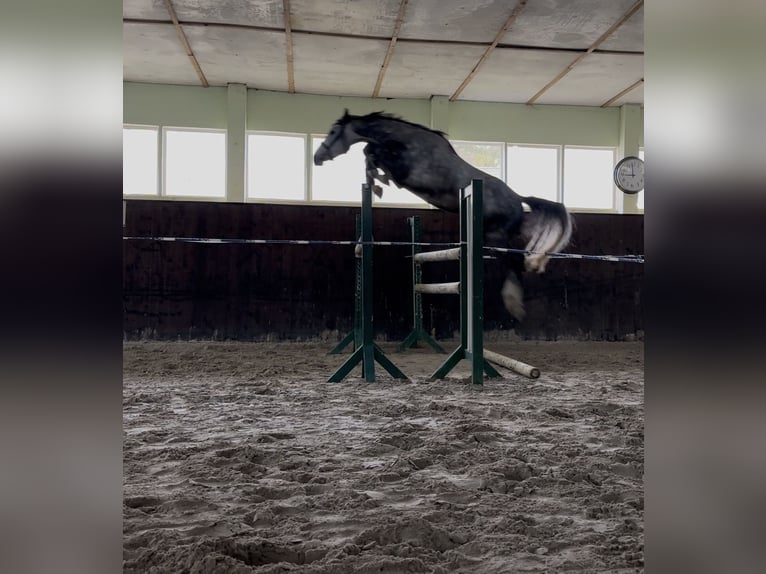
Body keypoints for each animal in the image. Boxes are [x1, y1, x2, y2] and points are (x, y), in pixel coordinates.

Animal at [313, 110, 573, 321]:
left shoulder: (407, 171)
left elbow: (373, 152)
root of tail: (518, 199)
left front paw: (379, 181)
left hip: (496, 237)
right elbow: (371, 153)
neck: (407, 142)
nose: (317, 158)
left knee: (514, 265)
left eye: (333, 131)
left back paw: (514, 305)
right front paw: (375, 182)